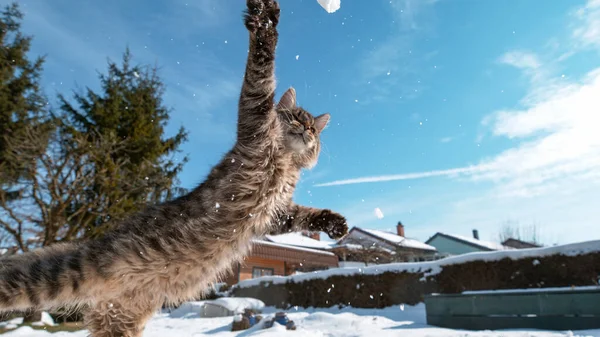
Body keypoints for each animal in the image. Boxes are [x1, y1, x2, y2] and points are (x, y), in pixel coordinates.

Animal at [0, 0, 350, 336]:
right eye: (296, 118)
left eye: (314, 129)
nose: (306, 131)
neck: (285, 161)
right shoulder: (256, 118)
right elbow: (262, 66)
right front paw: (265, 19)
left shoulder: (274, 212)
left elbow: (304, 215)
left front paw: (335, 224)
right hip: (54, 275)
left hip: (118, 320)